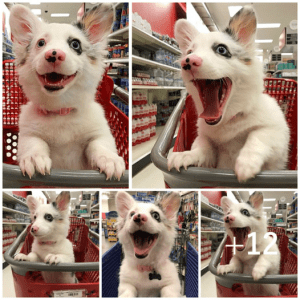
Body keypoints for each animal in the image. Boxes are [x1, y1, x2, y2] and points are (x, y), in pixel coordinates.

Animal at [9, 4, 124, 180]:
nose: (53, 54)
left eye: (75, 44)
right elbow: (34, 143)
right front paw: (34, 157)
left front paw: (109, 159)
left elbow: (99, 144)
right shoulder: (28, 134)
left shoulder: (100, 133)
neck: (60, 111)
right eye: (41, 43)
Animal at [168, 5, 290, 182]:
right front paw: (187, 155)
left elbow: (257, 136)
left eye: (221, 49)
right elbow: (202, 146)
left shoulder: (277, 135)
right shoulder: (206, 141)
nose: (187, 61)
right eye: (189, 51)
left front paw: (246, 163)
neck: (228, 119)